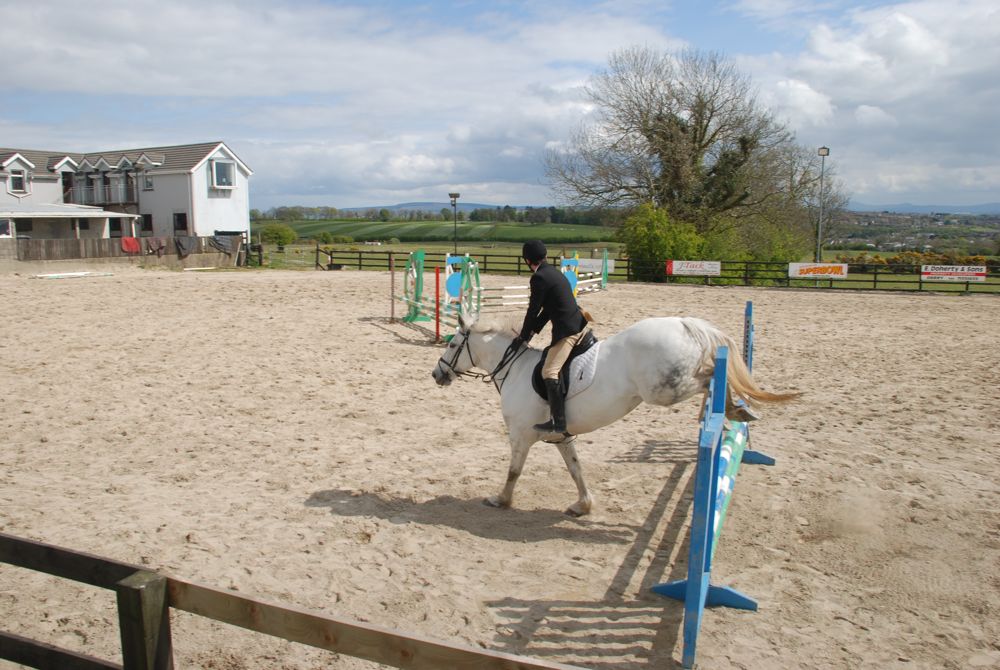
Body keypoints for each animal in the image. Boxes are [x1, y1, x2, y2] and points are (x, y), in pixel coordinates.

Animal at [431, 313, 799, 516]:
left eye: (451, 345)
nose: (437, 375)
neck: (514, 369)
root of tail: (683, 322)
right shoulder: (559, 436)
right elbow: (576, 469)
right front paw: (583, 505)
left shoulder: (520, 435)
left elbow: (513, 471)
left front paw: (501, 500)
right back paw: (737, 409)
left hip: (664, 389)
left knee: (708, 376)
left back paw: (731, 406)